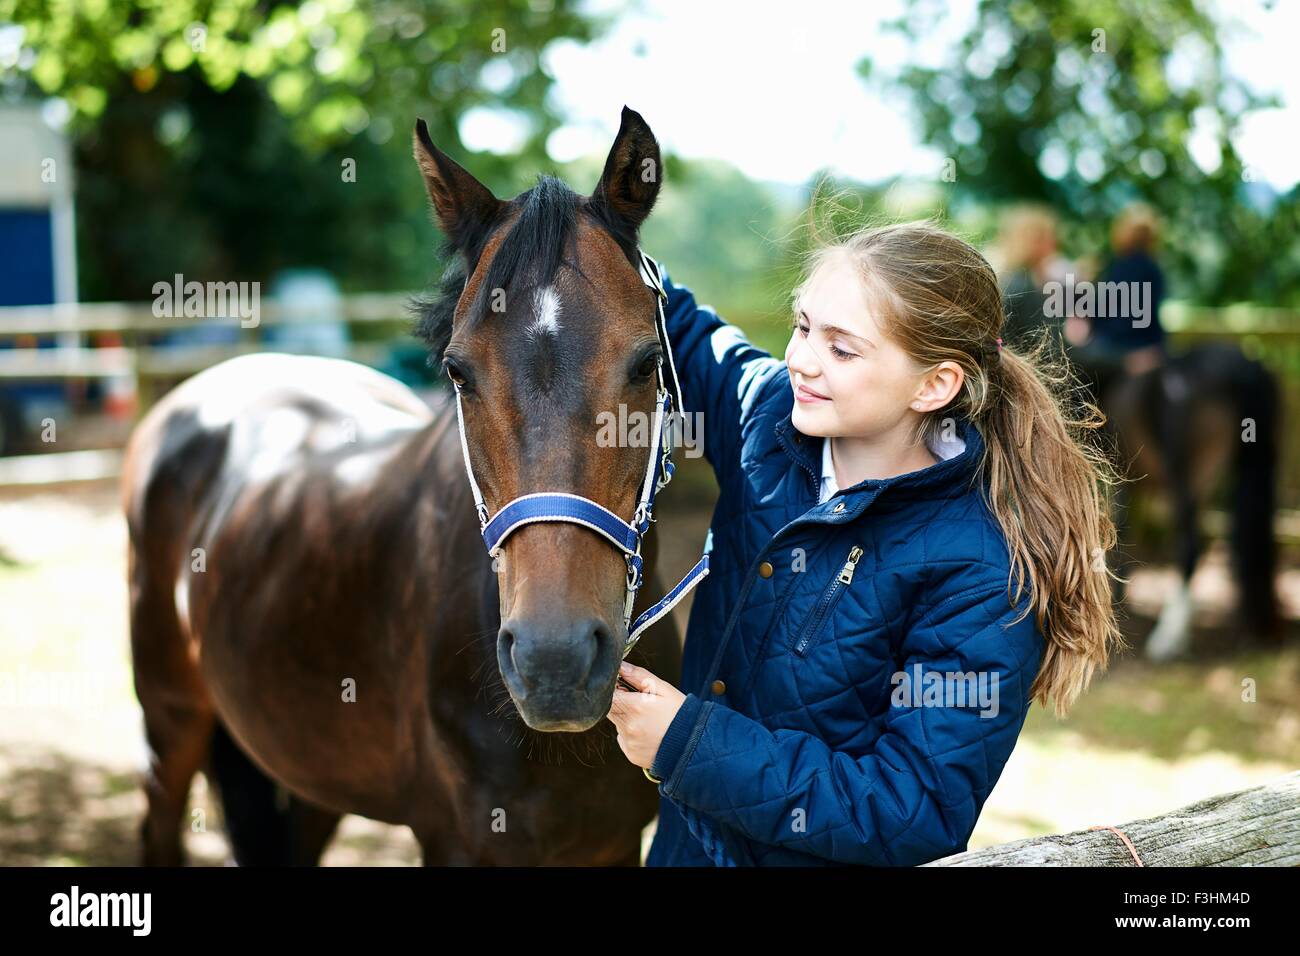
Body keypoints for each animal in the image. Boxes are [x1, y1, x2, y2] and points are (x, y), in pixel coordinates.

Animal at [122, 106, 686, 868]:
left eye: (647, 362)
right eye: (457, 372)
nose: (555, 663)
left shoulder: (613, 845)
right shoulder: (453, 842)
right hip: (170, 717)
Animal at [1071, 335, 1284, 658]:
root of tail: (1242, 367)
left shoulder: (1120, 479)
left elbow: (1120, 530)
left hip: (1186, 475)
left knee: (1190, 546)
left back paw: (1169, 636)